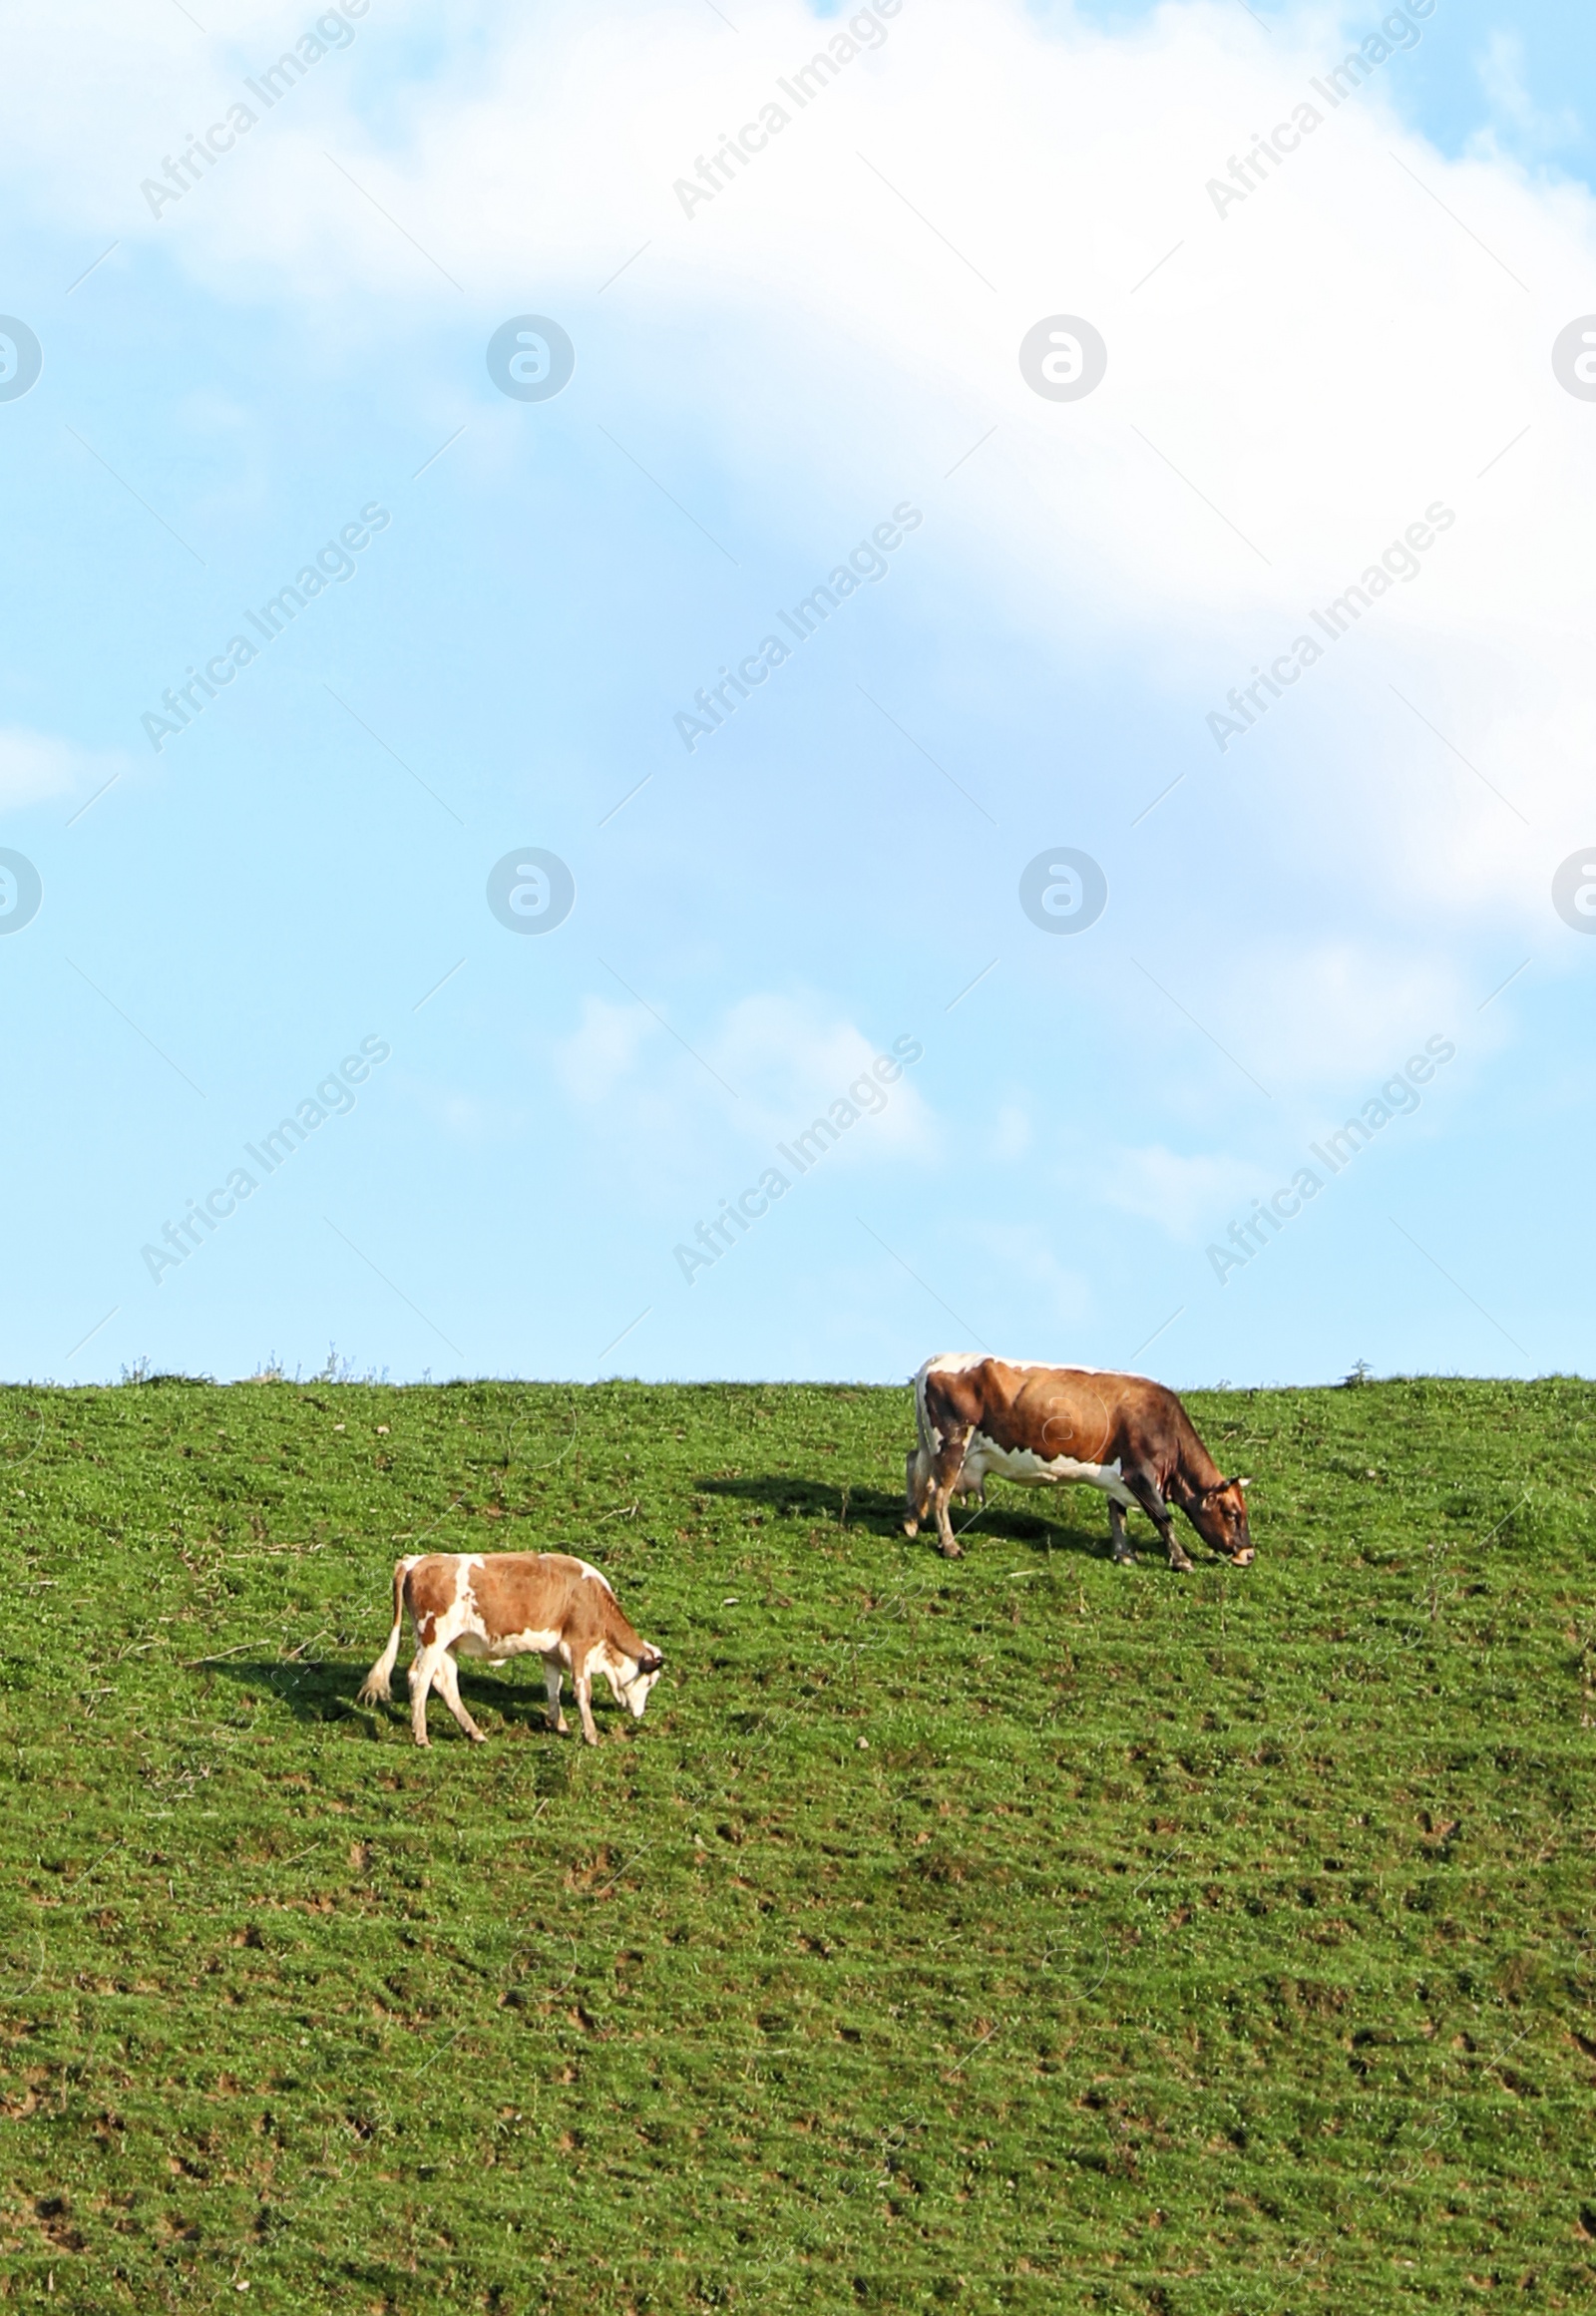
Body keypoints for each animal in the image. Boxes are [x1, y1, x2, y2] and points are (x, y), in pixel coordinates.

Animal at [358, 1547, 662, 1741]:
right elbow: (581, 1691)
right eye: (649, 1681)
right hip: (433, 1637)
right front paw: (590, 1735)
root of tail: (415, 1561)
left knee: (445, 1684)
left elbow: (553, 1687)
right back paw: (421, 1736)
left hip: (447, 1645)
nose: (639, 1714)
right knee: (419, 1680)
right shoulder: (579, 1645)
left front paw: (559, 1724)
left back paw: (475, 1733)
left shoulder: (551, 1652)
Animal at [903, 1352, 1250, 1574]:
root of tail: (936, 1360)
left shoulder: (1118, 1478)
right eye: (1233, 1514)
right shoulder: (1140, 1474)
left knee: (915, 1465)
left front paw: (1124, 1555)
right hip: (953, 1443)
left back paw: (911, 1521)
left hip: (932, 1445)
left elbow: (1117, 1515)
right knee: (940, 1493)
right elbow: (1162, 1518)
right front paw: (1181, 1561)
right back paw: (950, 1546)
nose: (1249, 1553)